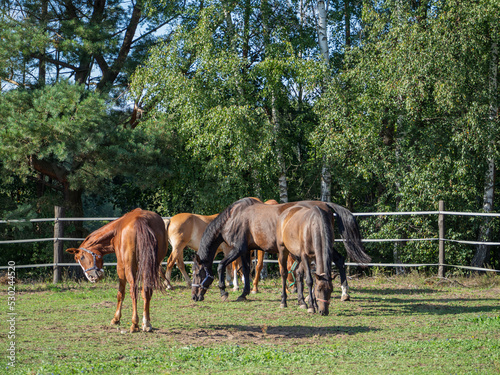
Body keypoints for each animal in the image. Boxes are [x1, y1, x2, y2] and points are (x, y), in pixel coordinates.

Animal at [191, 198, 372, 310]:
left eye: (197, 273)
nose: (194, 296)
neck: (233, 217)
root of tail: (325, 205)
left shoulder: (238, 249)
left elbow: (221, 266)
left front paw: (224, 292)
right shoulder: (246, 250)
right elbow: (246, 270)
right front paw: (244, 293)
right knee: (340, 260)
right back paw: (343, 293)